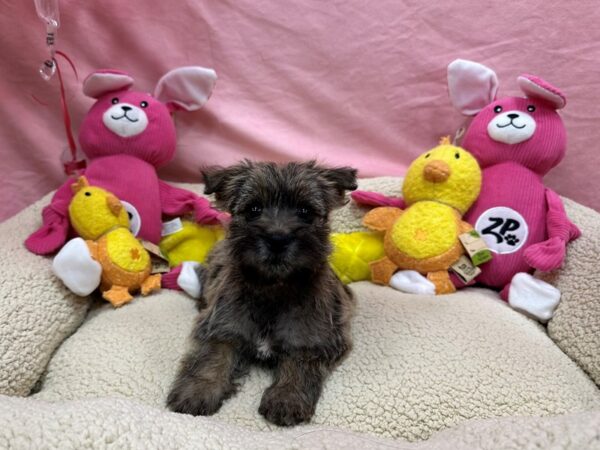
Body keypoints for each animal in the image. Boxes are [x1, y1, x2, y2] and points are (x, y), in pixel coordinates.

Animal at [166, 161, 356, 426]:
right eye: (254, 209)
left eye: (305, 211)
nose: (277, 239)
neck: (273, 287)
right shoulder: (223, 328)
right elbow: (210, 358)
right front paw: (197, 391)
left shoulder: (312, 337)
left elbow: (299, 364)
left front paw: (287, 397)